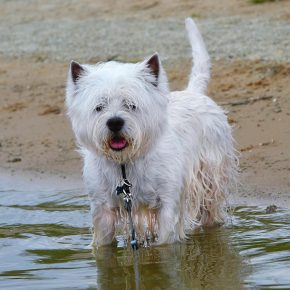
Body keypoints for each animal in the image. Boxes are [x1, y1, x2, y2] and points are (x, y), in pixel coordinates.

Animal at [65, 18, 238, 246]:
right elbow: (103, 245)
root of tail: (194, 92)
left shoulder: (168, 202)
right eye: (99, 107)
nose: (115, 122)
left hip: (211, 176)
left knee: (210, 211)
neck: (125, 165)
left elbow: (165, 241)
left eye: (131, 105)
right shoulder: (103, 209)